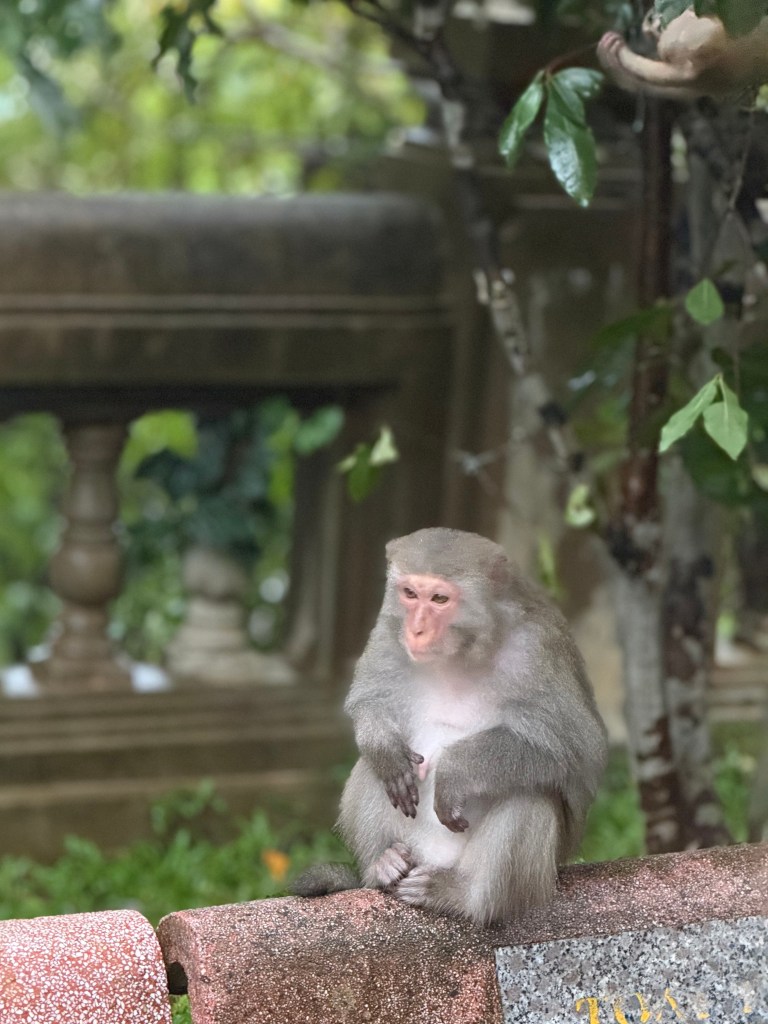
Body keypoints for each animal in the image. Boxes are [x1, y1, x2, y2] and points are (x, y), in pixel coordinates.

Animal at [292, 528, 608, 926]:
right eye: (410, 594)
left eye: (440, 598)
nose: (416, 629)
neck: (461, 652)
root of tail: (431, 857)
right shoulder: (388, 628)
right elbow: (370, 699)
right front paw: (384, 746)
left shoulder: (539, 647)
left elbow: (579, 747)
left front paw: (456, 770)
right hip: (411, 843)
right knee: (374, 769)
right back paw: (383, 865)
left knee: (530, 794)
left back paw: (461, 897)